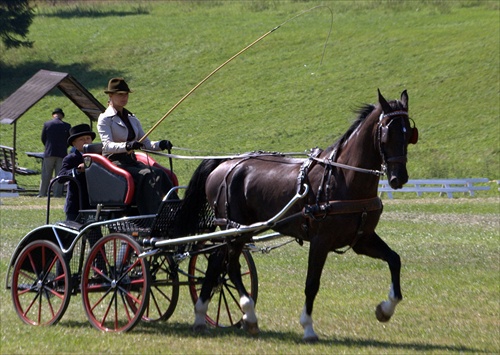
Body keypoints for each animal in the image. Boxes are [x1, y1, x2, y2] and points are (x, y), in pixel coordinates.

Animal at [174, 91, 416, 342]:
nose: (399, 178)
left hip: (238, 230)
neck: (343, 177)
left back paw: (201, 315)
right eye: (387, 133)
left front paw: (385, 309)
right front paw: (308, 327)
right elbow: (312, 283)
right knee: (230, 267)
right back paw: (248, 313)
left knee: (215, 263)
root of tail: (224, 164)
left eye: (409, 133)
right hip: (236, 230)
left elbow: (394, 260)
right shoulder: (320, 241)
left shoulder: (362, 239)